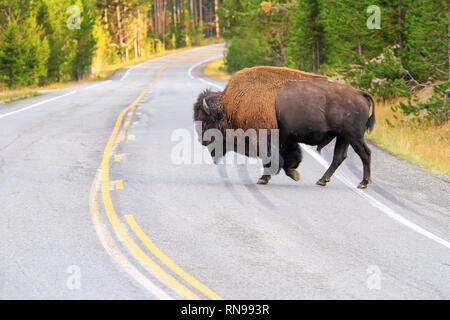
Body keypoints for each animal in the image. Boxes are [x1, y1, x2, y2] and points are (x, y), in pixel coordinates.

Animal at [192, 66, 374, 189]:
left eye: (206, 121)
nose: (201, 140)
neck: (231, 106)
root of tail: (360, 94)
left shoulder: (262, 138)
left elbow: (270, 158)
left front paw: (264, 178)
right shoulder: (284, 138)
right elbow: (288, 157)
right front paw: (293, 173)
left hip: (353, 136)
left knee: (364, 153)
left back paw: (363, 183)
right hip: (343, 137)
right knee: (339, 157)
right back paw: (322, 180)